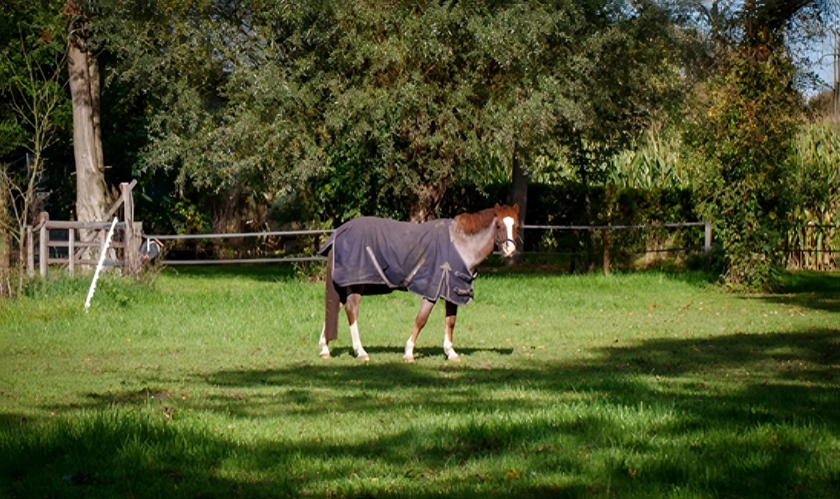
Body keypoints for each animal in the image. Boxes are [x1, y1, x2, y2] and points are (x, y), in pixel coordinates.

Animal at [317, 203, 520, 362]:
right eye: (499, 225)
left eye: (516, 225)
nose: (510, 249)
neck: (459, 245)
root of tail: (337, 233)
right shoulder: (432, 290)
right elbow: (421, 319)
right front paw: (408, 353)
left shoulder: (452, 291)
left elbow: (451, 321)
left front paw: (451, 353)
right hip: (356, 285)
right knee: (351, 310)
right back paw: (360, 352)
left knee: (334, 307)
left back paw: (325, 348)